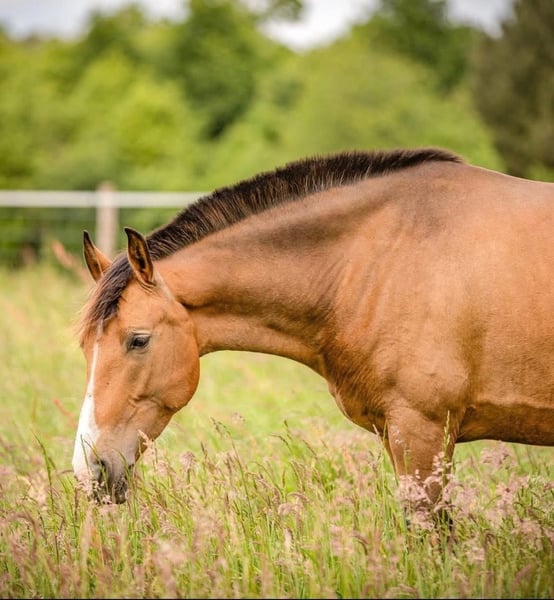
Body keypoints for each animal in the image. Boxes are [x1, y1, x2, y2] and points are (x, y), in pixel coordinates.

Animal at [73, 147, 554, 517]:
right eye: (85, 349)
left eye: (138, 340)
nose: (88, 470)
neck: (378, 259)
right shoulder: (400, 436)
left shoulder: (423, 434)